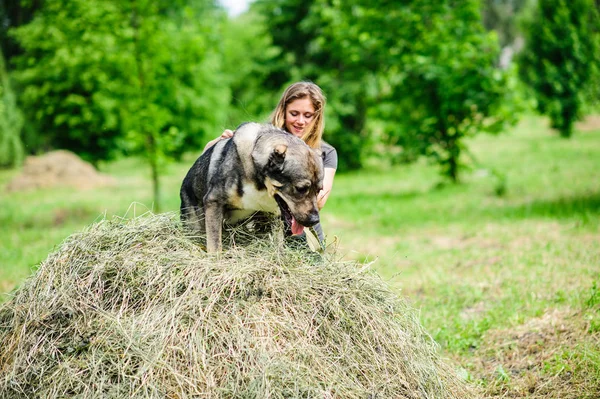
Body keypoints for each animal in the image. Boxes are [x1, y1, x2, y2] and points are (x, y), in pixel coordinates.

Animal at [179, 122, 324, 253]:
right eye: (300, 189)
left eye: (319, 190)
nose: (315, 220)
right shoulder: (213, 201)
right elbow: (215, 245)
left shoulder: (275, 216)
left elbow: (278, 245)